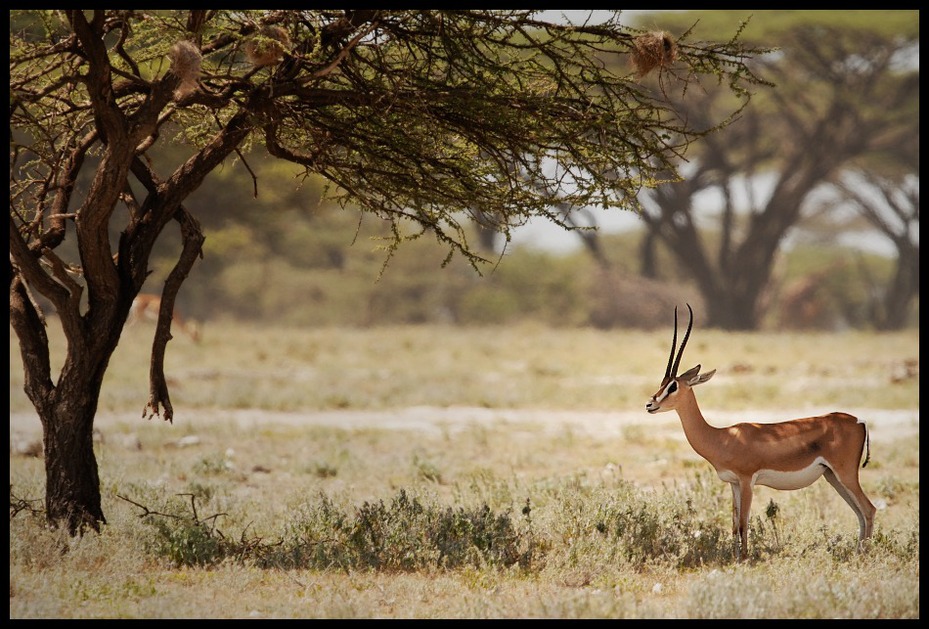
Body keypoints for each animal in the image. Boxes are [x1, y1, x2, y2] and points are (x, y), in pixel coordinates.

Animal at [640, 304, 872, 560]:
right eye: (662, 383)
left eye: (673, 386)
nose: (650, 404)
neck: (722, 438)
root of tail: (859, 421)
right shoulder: (733, 483)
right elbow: (733, 525)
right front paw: (734, 557)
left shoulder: (747, 480)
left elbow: (743, 523)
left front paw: (744, 558)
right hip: (832, 477)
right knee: (859, 513)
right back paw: (858, 553)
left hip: (845, 474)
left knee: (869, 510)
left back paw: (864, 555)